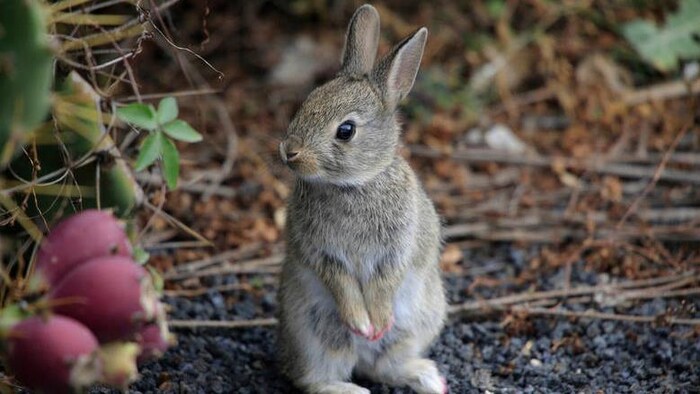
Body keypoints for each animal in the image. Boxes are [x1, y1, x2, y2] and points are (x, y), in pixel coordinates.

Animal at [276, 3, 446, 394]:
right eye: (306, 102)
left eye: (346, 130)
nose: (289, 152)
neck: (355, 184)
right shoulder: (323, 252)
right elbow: (341, 283)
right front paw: (362, 324)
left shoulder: (397, 249)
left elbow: (385, 283)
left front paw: (376, 323)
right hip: (311, 333)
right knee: (315, 379)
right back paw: (352, 387)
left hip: (420, 322)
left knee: (384, 367)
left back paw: (427, 377)